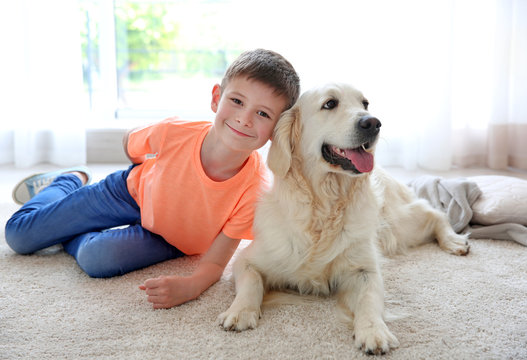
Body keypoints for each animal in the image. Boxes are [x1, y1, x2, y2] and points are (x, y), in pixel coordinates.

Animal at [219, 81, 470, 354]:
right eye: (330, 103)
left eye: (365, 104)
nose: (373, 123)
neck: (325, 206)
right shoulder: (247, 259)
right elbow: (252, 281)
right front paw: (240, 311)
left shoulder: (364, 269)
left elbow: (369, 299)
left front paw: (373, 331)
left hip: (399, 224)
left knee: (434, 212)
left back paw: (454, 241)